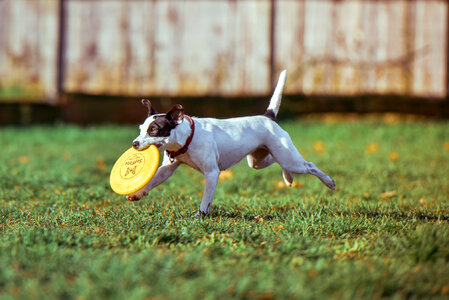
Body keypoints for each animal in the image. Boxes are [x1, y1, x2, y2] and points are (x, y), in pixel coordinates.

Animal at [128, 70, 334, 216]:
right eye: (140, 128)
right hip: (258, 160)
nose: (134, 143)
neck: (187, 138)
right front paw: (138, 193)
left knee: (309, 165)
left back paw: (329, 182)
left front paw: (200, 215)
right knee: (276, 162)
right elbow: (154, 180)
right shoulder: (167, 169)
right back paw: (288, 178)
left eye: (154, 130)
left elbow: (206, 199)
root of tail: (268, 117)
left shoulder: (212, 173)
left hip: (290, 158)